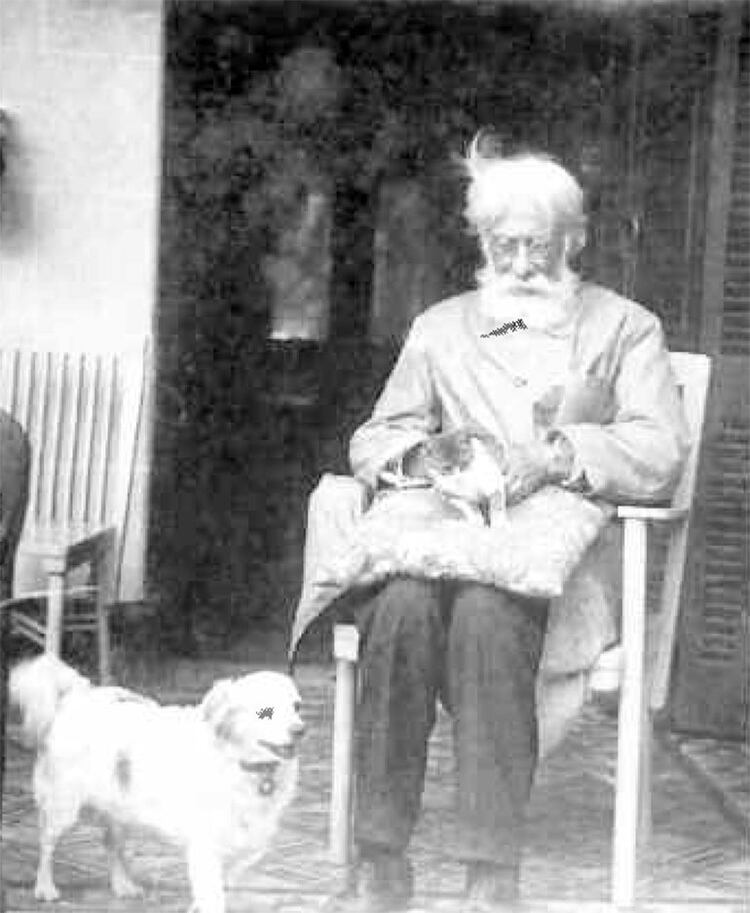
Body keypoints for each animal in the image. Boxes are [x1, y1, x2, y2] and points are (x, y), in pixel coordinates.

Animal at [8, 656, 306, 912]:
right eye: (265, 712)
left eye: (297, 707)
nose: (300, 730)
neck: (241, 762)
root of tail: (77, 695)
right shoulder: (205, 844)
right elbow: (213, 895)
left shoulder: (246, 840)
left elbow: (231, 874)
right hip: (63, 808)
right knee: (46, 844)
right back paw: (45, 887)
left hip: (120, 808)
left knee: (111, 844)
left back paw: (123, 885)